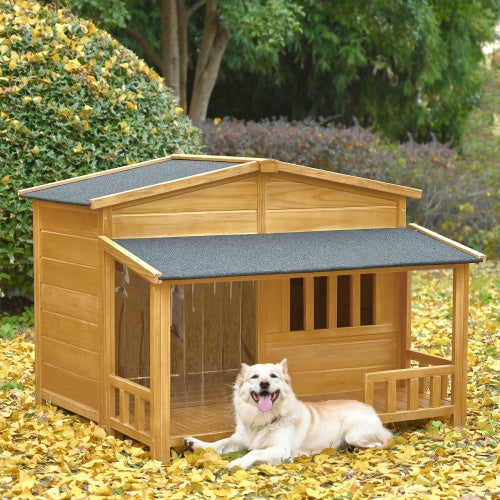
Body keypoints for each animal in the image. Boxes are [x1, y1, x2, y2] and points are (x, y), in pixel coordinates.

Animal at [184, 360, 390, 468]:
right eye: (254, 377)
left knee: (376, 443)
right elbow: (219, 443)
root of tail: (371, 409)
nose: (264, 383)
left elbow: (254, 452)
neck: (263, 419)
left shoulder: (281, 450)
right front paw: (196, 444)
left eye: (273, 376)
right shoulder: (240, 438)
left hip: (353, 433)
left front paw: (238, 463)